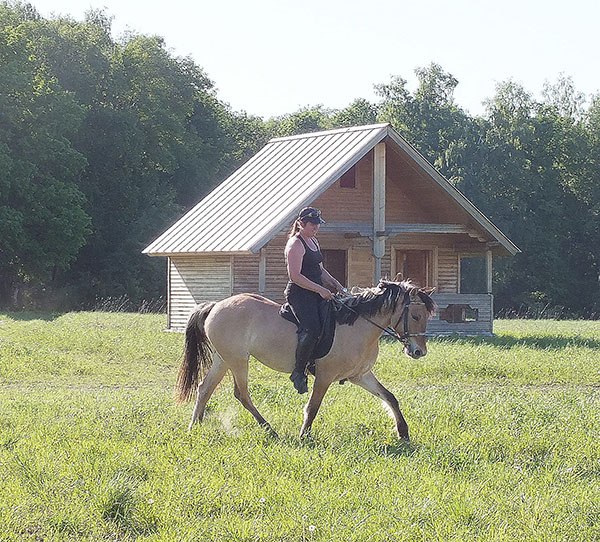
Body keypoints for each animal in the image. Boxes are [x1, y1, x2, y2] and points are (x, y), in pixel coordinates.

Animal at [175, 279, 435, 440]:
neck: (357, 324)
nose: (418, 352)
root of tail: (216, 305)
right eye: (415, 316)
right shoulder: (325, 376)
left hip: (223, 359)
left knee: (204, 388)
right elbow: (313, 407)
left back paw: (194, 426)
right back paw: (269, 429)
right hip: (238, 360)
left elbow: (390, 398)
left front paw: (403, 432)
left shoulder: (360, 375)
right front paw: (304, 435)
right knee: (242, 394)